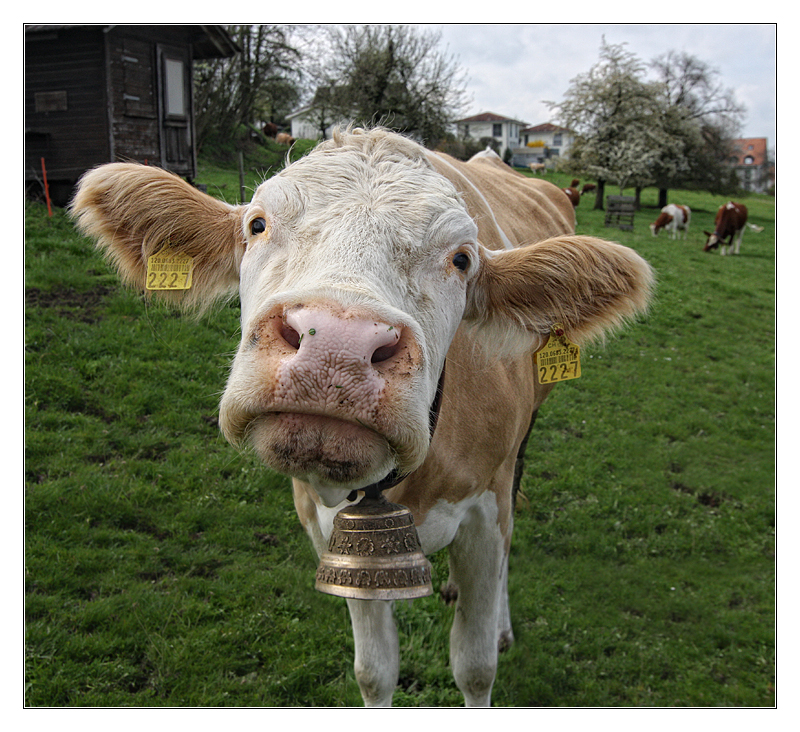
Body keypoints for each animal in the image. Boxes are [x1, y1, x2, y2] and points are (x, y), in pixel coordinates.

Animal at [70, 127, 656, 708]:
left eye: (461, 260)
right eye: (257, 224)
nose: (336, 345)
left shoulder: (485, 515)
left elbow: (475, 667)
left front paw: (490, 638)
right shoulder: (334, 535)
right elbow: (374, 671)